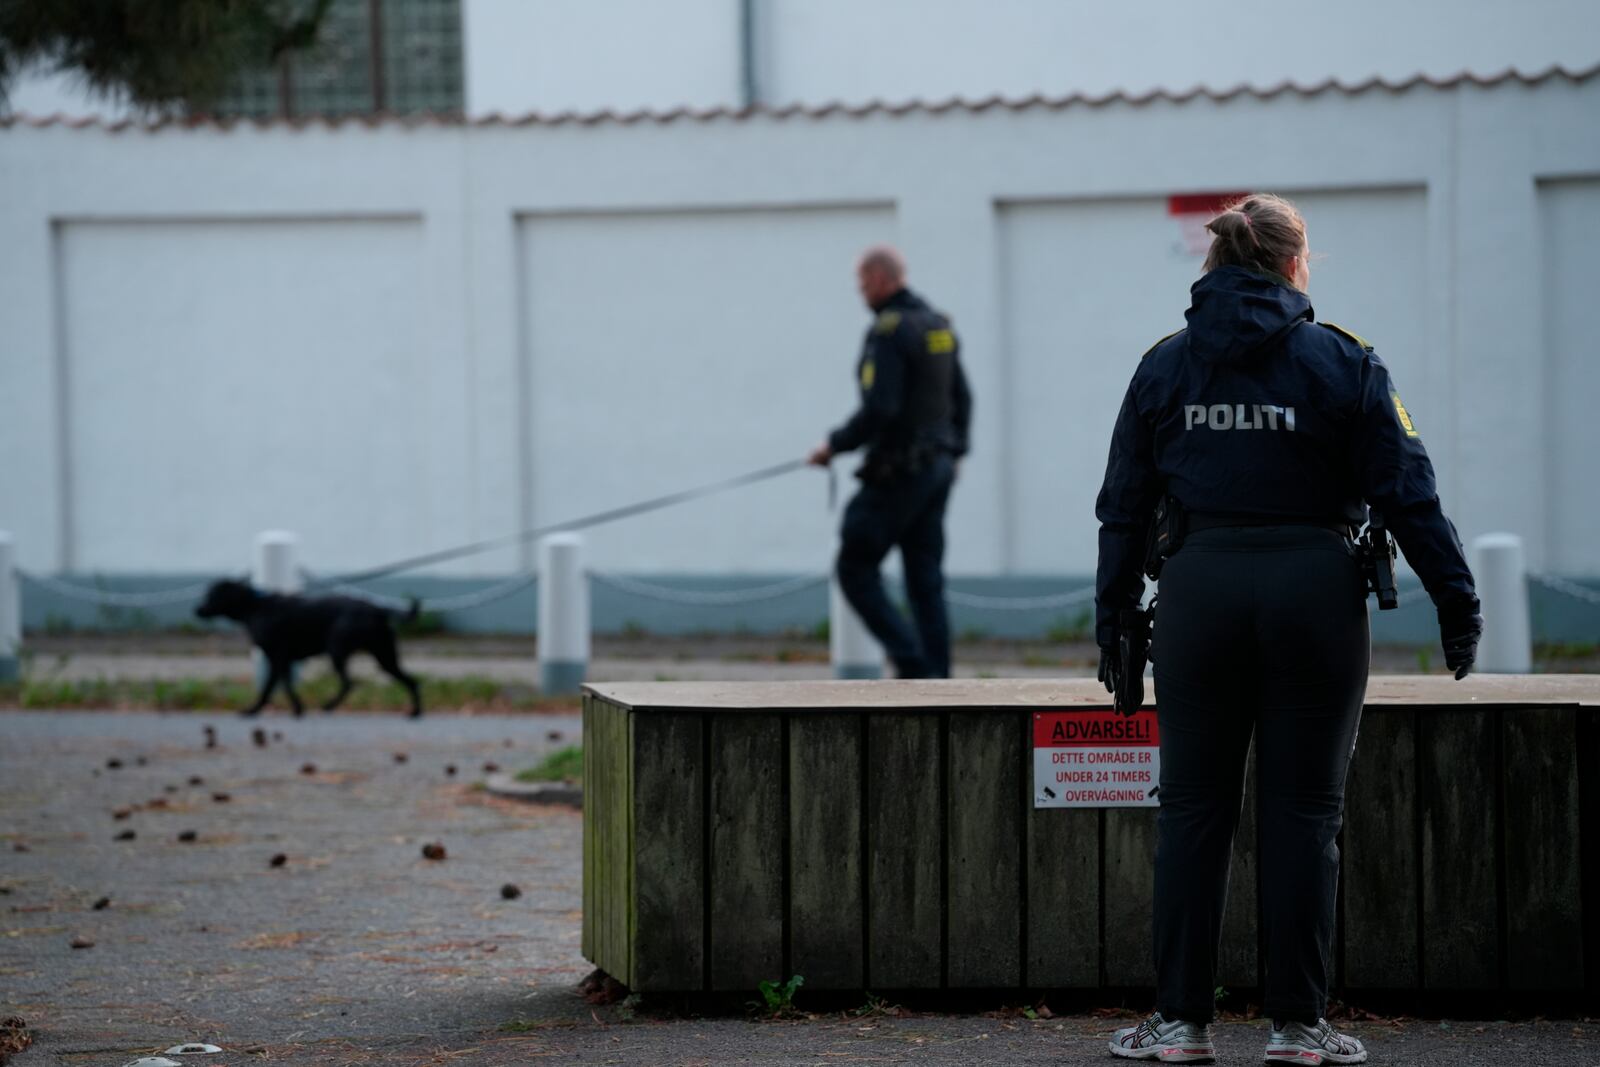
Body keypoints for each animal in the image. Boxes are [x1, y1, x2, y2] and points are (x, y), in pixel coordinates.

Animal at [195, 579, 425, 723]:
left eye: (211, 595)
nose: (196, 610)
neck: (255, 606)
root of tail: (377, 609)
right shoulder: (282, 659)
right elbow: (283, 685)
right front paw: (297, 709)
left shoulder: (277, 656)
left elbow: (272, 687)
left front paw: (255, 710)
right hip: (385, 656)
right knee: (412, 681)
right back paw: (415, 713)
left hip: (338, 650)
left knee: (349, 683)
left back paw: (328, 706)